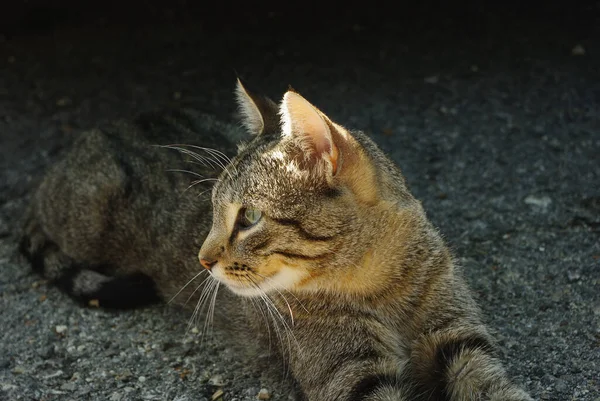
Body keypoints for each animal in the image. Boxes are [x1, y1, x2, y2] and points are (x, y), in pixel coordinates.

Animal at [19, 79, 536, 400]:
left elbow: (497, 387)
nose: (202, 259)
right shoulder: (353, 375)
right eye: (211, 210)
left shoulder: (461, 342)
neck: (380, 283)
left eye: (248, 217)